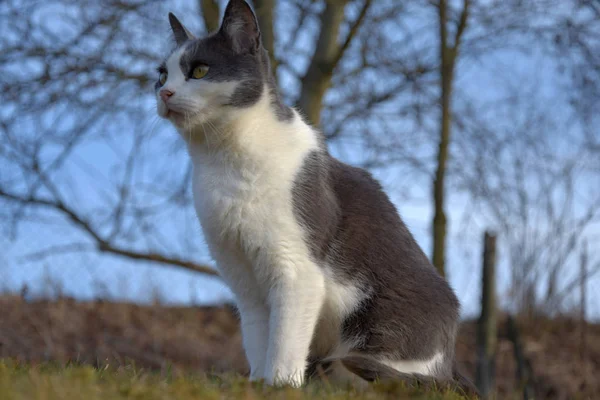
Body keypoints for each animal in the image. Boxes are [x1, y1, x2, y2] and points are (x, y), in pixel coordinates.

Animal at [155, 0, 460, 390]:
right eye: (161, 75)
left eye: (200, 70)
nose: (164, 93)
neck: (222, 164)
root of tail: (447, 368)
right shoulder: (241, 275)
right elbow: (258, 337)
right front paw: (257, 384)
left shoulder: (297, 269)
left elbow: (284, 341)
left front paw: (280, 386)